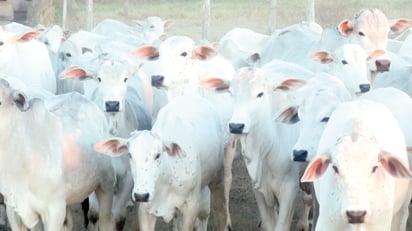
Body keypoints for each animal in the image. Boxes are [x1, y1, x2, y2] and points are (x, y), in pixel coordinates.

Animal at [94, 94, 229, 231]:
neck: (166, 176)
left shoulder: (190, 207)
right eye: (130, 155)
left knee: (218, 212)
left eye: (158, 155)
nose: (141, 195)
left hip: (218, 179)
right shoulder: (144, 210)